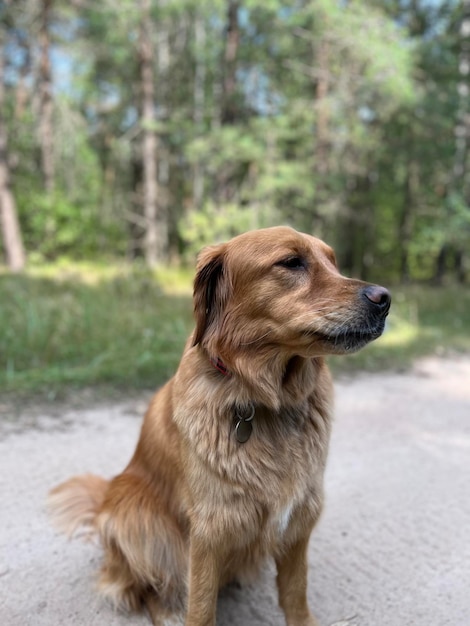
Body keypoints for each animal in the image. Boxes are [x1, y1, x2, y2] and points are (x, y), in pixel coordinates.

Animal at [49, 225, 392, 624]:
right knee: (147, 589)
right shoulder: (210, 532)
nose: (384, 298)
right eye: (292, 262)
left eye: (333, 262)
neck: (267, 401)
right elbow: (200, 609)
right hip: (135, 517)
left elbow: (295, 596)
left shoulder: (298, 521)